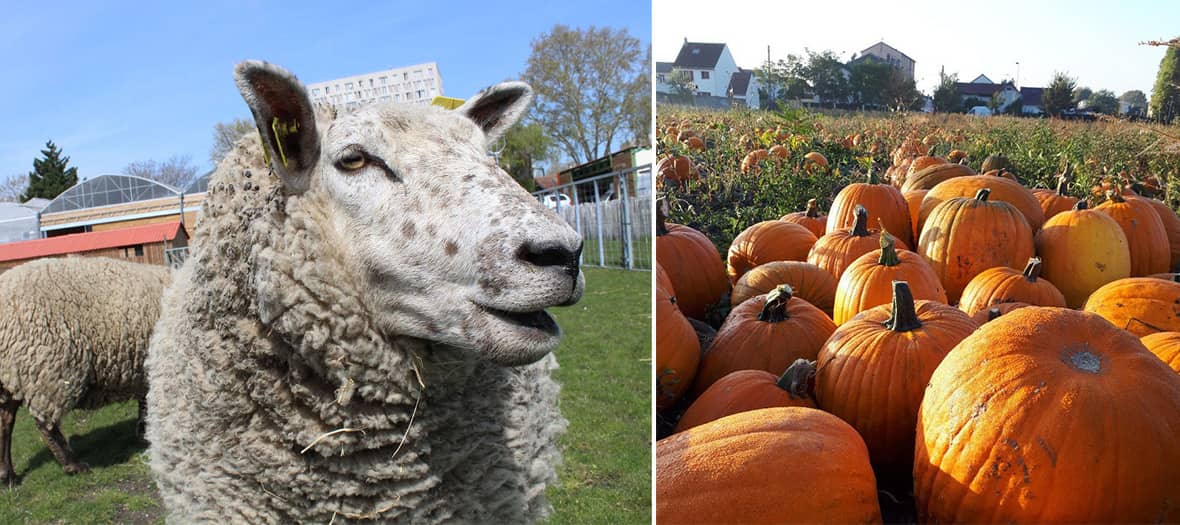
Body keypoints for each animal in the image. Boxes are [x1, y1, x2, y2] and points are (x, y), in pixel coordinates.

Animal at [0, 256, 172, 486]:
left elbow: (145, 401)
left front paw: (144, 431)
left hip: (13, 374)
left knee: (5, 420)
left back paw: (8, 475)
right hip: (46, 368)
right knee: (45, 423)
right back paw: (73, 465)